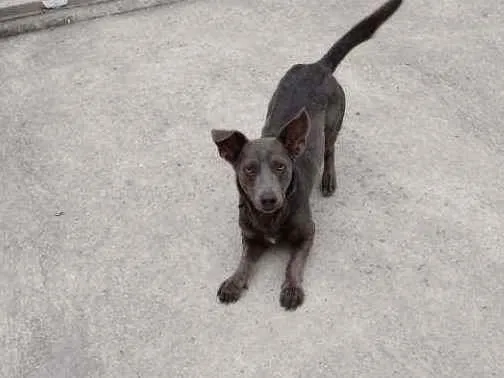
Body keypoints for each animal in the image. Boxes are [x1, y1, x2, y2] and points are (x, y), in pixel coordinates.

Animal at [211, 0, 404, 310]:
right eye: (249, 169)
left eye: (281, 166)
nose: (268, 199)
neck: (271, 218)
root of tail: (318, 66)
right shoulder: (249, 238)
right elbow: (243, 262)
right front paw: (234, 281)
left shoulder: (308, 233)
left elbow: (293, 264)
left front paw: (291, 288)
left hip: (332, 125)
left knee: (330, 150)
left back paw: (328, 179)